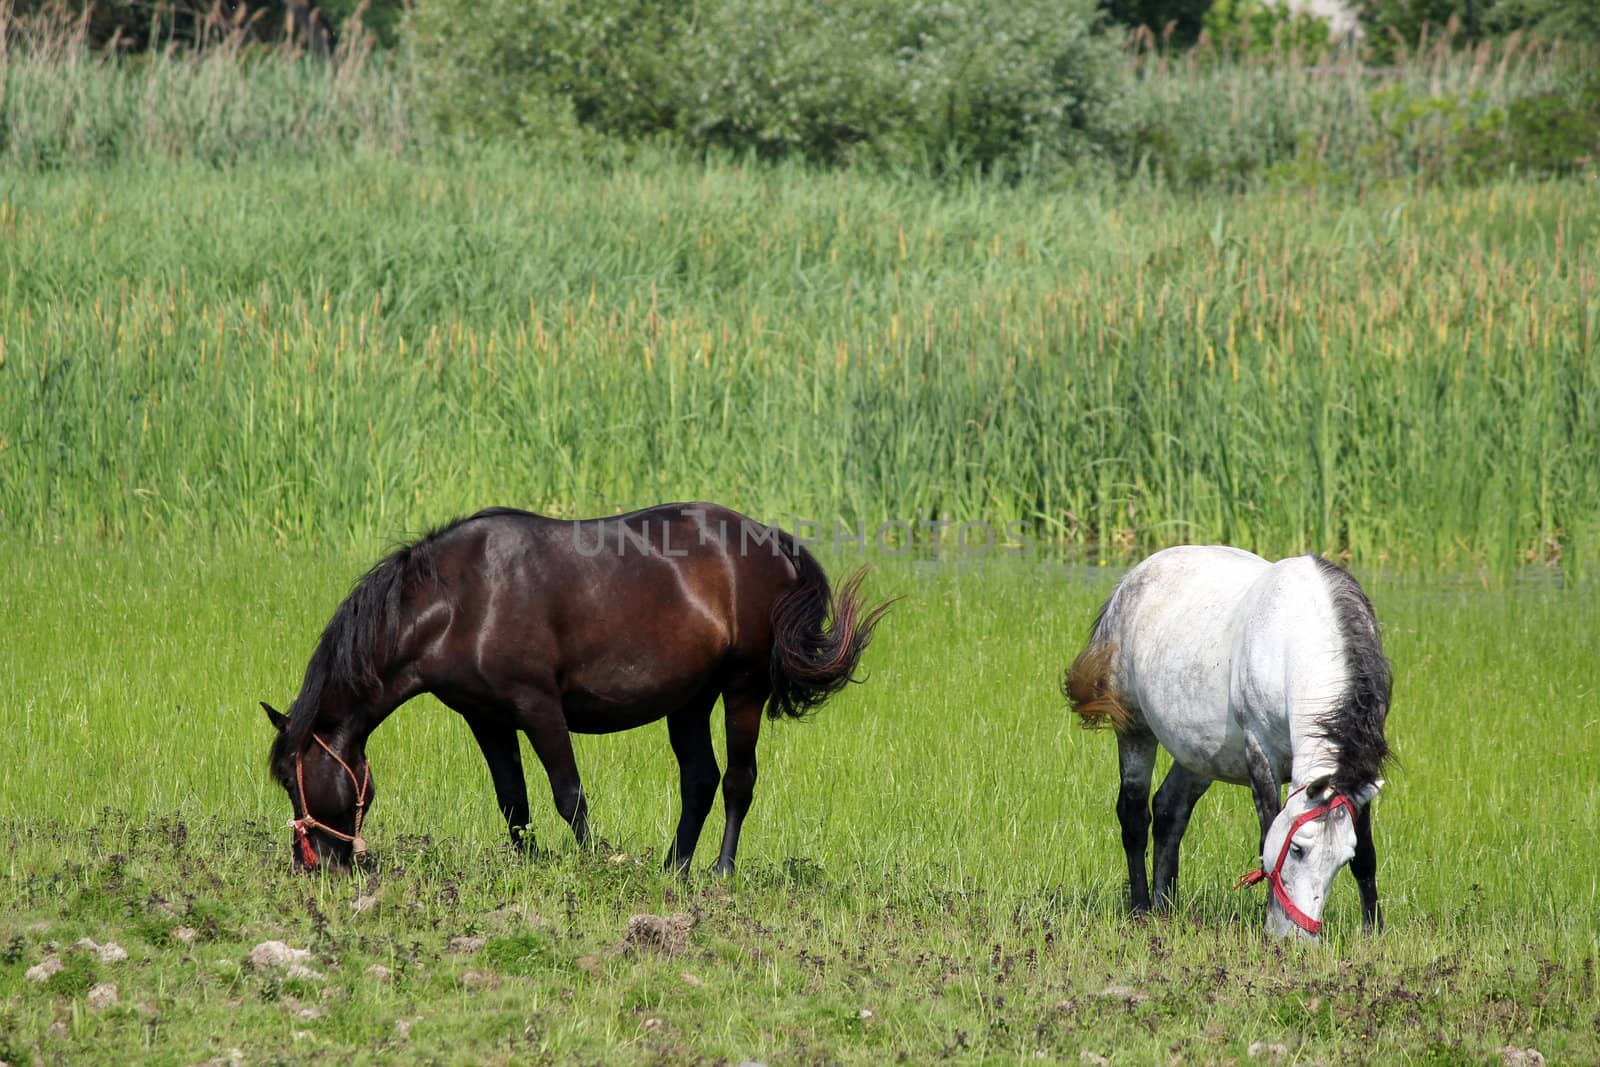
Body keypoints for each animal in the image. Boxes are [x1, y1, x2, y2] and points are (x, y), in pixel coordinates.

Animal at [262, 508, 889, 876]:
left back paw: (720, 871)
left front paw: (593, 865)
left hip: (743, 688)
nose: (313, 865)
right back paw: (674, 869)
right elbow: (512, 798)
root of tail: (777, 544)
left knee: (738, 781)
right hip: (688, 701)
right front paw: (528, 863)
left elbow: (569, 794)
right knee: (700, 780)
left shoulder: (538, 706)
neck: (461, 600)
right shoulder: (486, 717)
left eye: (297, 782)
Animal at [1068, 547, 1395, 940]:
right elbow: (1267, 834)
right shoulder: (1261, 756)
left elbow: (1367, 856)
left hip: (1199, 756)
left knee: (1169, 812)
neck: (1298, 637)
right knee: (1134, 814)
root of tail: (1129, 581)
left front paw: (1374, 930)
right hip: (1134, 730)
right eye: (1297, 849)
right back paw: (1142, 908)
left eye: (1340, 859)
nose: (1299, 938)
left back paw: (1165, 905)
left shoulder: (1360, 771)